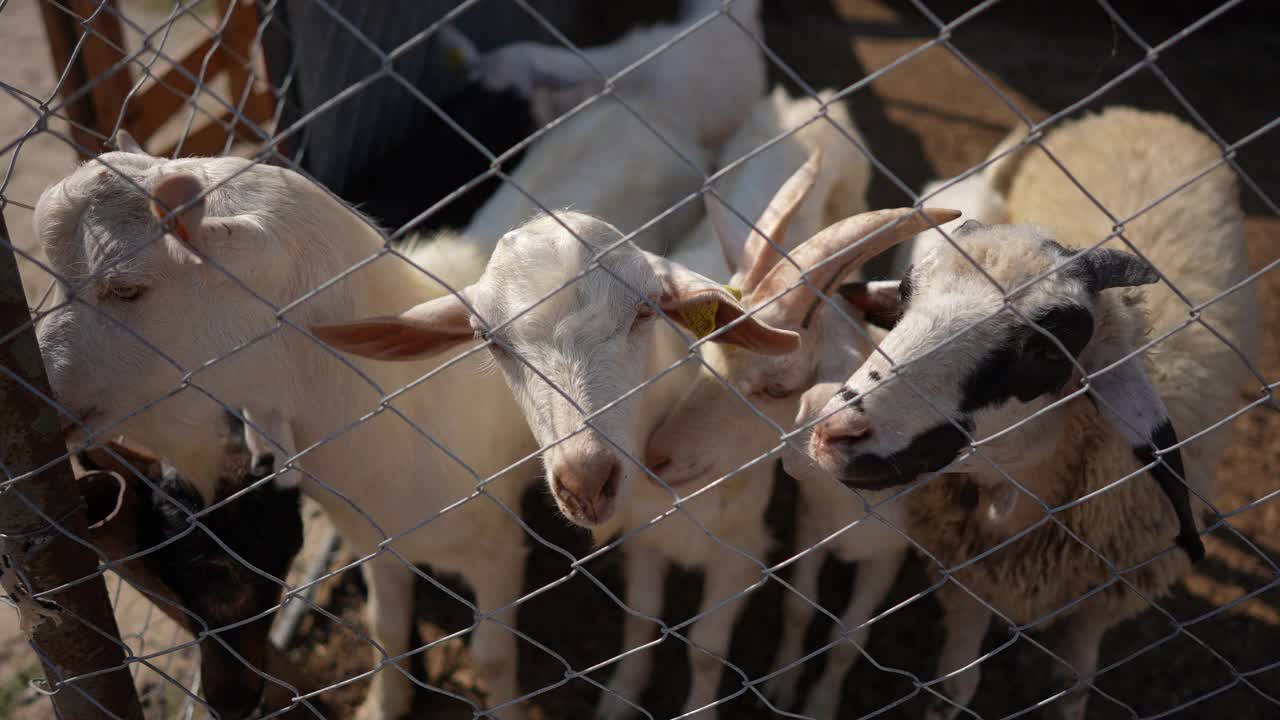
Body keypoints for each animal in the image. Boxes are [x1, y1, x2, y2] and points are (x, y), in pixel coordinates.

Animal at [35, 94, 711, 717]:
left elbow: (491, 656)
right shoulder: (375, 540)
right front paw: (385, 704)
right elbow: (386, 630)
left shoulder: (493, 547)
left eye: (127, 289)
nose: (42, 393)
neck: (404, 407)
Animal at [808, 107, 1259, 717]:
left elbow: (1072, 685)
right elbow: (954, 687)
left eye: (1045, 351)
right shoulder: (970, 578)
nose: (834, 434)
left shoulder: (1098, 602)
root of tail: (1144, 114)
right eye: (903, 298)